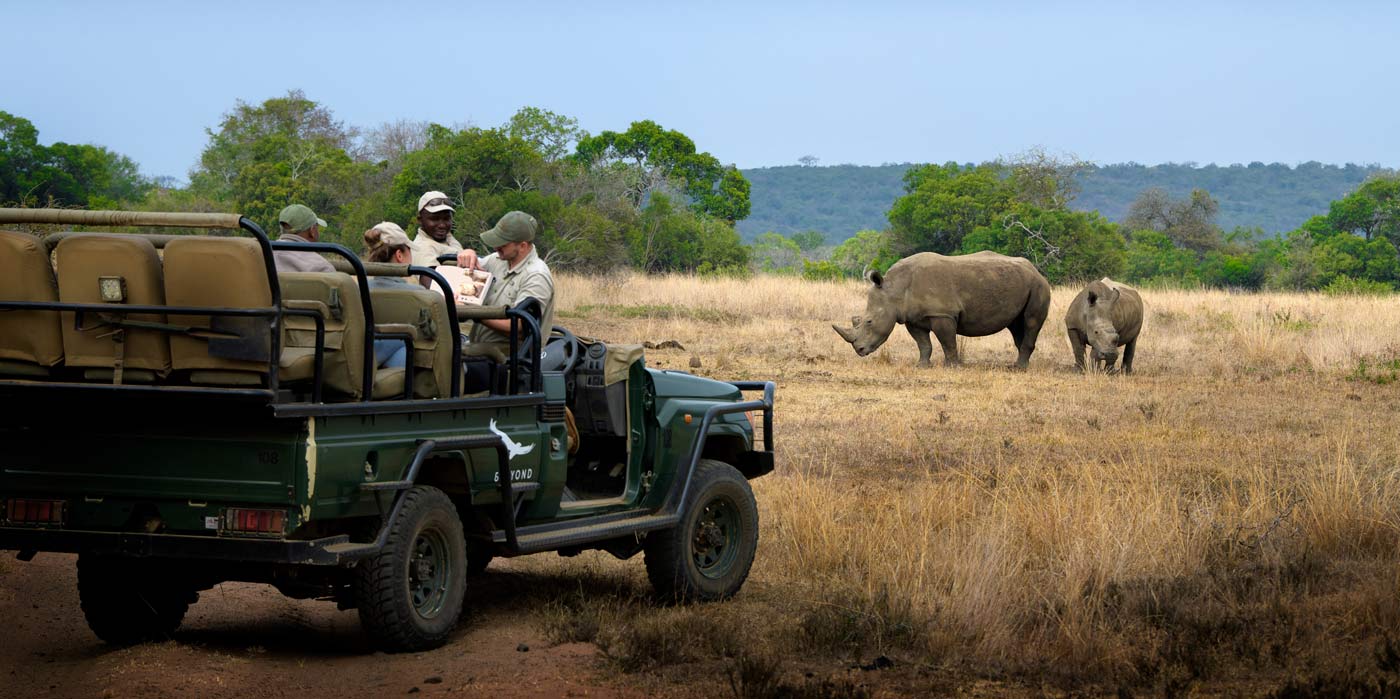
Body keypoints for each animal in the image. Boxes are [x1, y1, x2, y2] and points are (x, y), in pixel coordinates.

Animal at [832, 251, 1052, 368]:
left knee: (1031, 322)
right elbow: (923, 343)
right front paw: (922, 366)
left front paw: (952, 366)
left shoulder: (942, 314)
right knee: (1016, 325)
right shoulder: (913, 318)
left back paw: (1019, 368)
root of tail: (1036, 270)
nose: (859, 350)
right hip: (1022, 283)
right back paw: (1018, 365)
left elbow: (948, 342)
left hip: (1039, 286)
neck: (894, 288)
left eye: (869, 321)